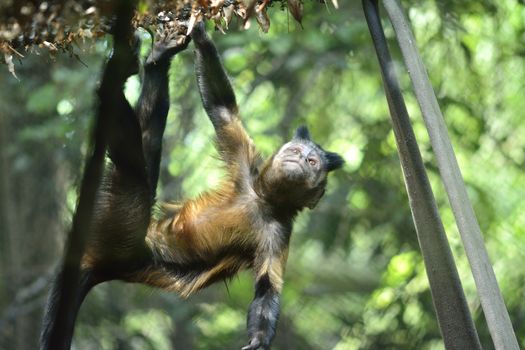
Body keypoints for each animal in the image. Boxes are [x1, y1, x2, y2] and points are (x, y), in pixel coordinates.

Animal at [40, 21, 344, 350]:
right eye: (295, 151)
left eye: (312, 162)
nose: (299, 159)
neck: (263, 201)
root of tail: (98, 259)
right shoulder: (246, 172)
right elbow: (221, 108)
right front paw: (199, 32)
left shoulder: (280, 231)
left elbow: (267, 287)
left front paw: (259, 340)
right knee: (142, 155)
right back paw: (147, 62)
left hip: (118, 227)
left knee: (136, 165)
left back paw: (126, 73)